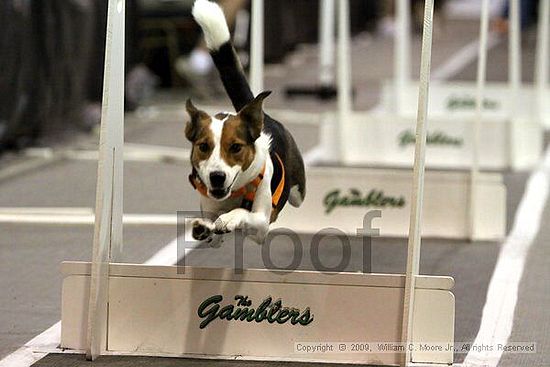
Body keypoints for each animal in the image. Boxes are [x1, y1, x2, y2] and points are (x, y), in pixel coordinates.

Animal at [185, 0, 306, 244]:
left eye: (235, 147)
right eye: (203, 147)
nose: (217, 177)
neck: (235, 191)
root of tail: (259, 113)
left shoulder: (262, 224)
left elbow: (243, 213)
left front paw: (230, 218)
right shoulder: (210, 208)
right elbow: (211, 227)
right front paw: (203, 227)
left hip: (298, 191)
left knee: (297, 195)